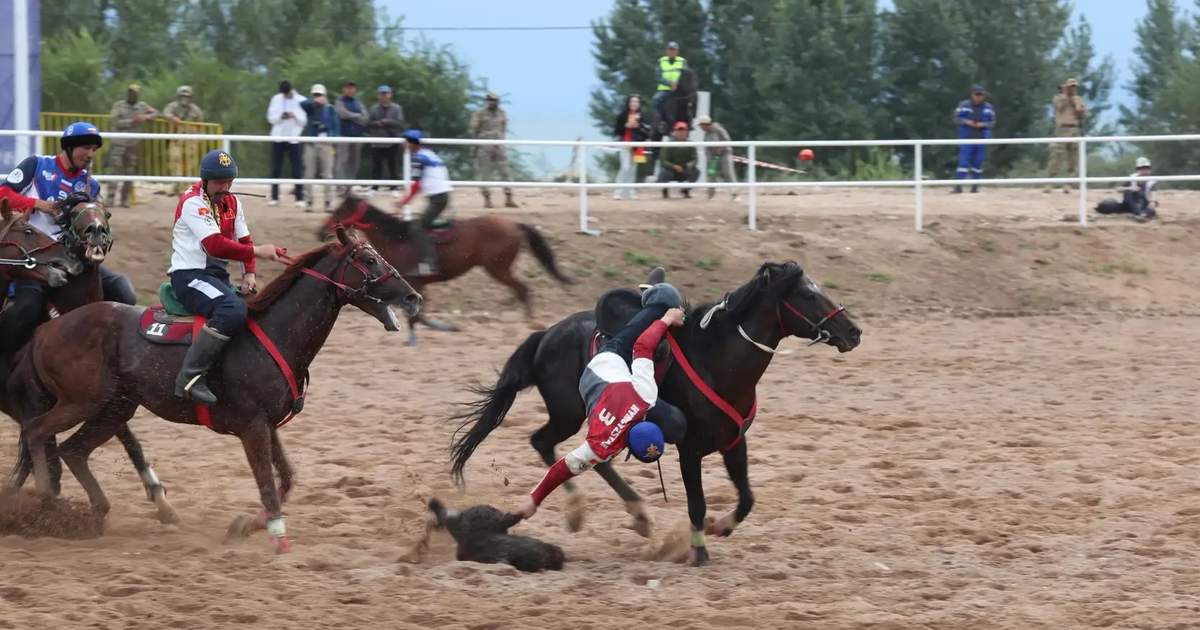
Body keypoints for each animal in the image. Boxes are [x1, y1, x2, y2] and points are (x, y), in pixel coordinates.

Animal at [1, 199, 180, 523]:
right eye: (73, 212)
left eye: (105, 212)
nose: (95, 231)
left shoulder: (107, 397)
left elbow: (129, 440)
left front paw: (160, 498)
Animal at [7, 227, 422, 552]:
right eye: (368, 259)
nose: (413, 297)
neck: (271, 335)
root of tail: (46, 329)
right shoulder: (252, 428)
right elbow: (268, 484)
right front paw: (278, 539)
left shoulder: (267, 425)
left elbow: (286, 479)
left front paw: (246, 525)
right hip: (82, 401)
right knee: (38, 431)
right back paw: (44, 501)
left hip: (115, 408)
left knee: (73, 450)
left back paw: (95, 513)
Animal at [320, 198, 574, 345]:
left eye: (339, 209)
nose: (321, 230)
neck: (397, 237)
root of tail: (514, 225)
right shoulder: (417, 286)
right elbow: (418, 314)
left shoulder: (414, 283)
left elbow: (418, 315)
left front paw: (441, 329)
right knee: (521, 289)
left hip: (498, 268)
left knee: (522, 288)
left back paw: (530, 323)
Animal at [449, 261, 862, 565]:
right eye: (808, 294)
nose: (854, 331)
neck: (716, 357)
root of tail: (547, 334)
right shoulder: (690, 449)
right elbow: (697, 503)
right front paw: (698, 551)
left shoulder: (734, 442)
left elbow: (746, 498)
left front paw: (721, 527)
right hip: (568, 413)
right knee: (545, 442)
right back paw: (580, 509)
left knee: (585, 456)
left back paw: (636, 514)